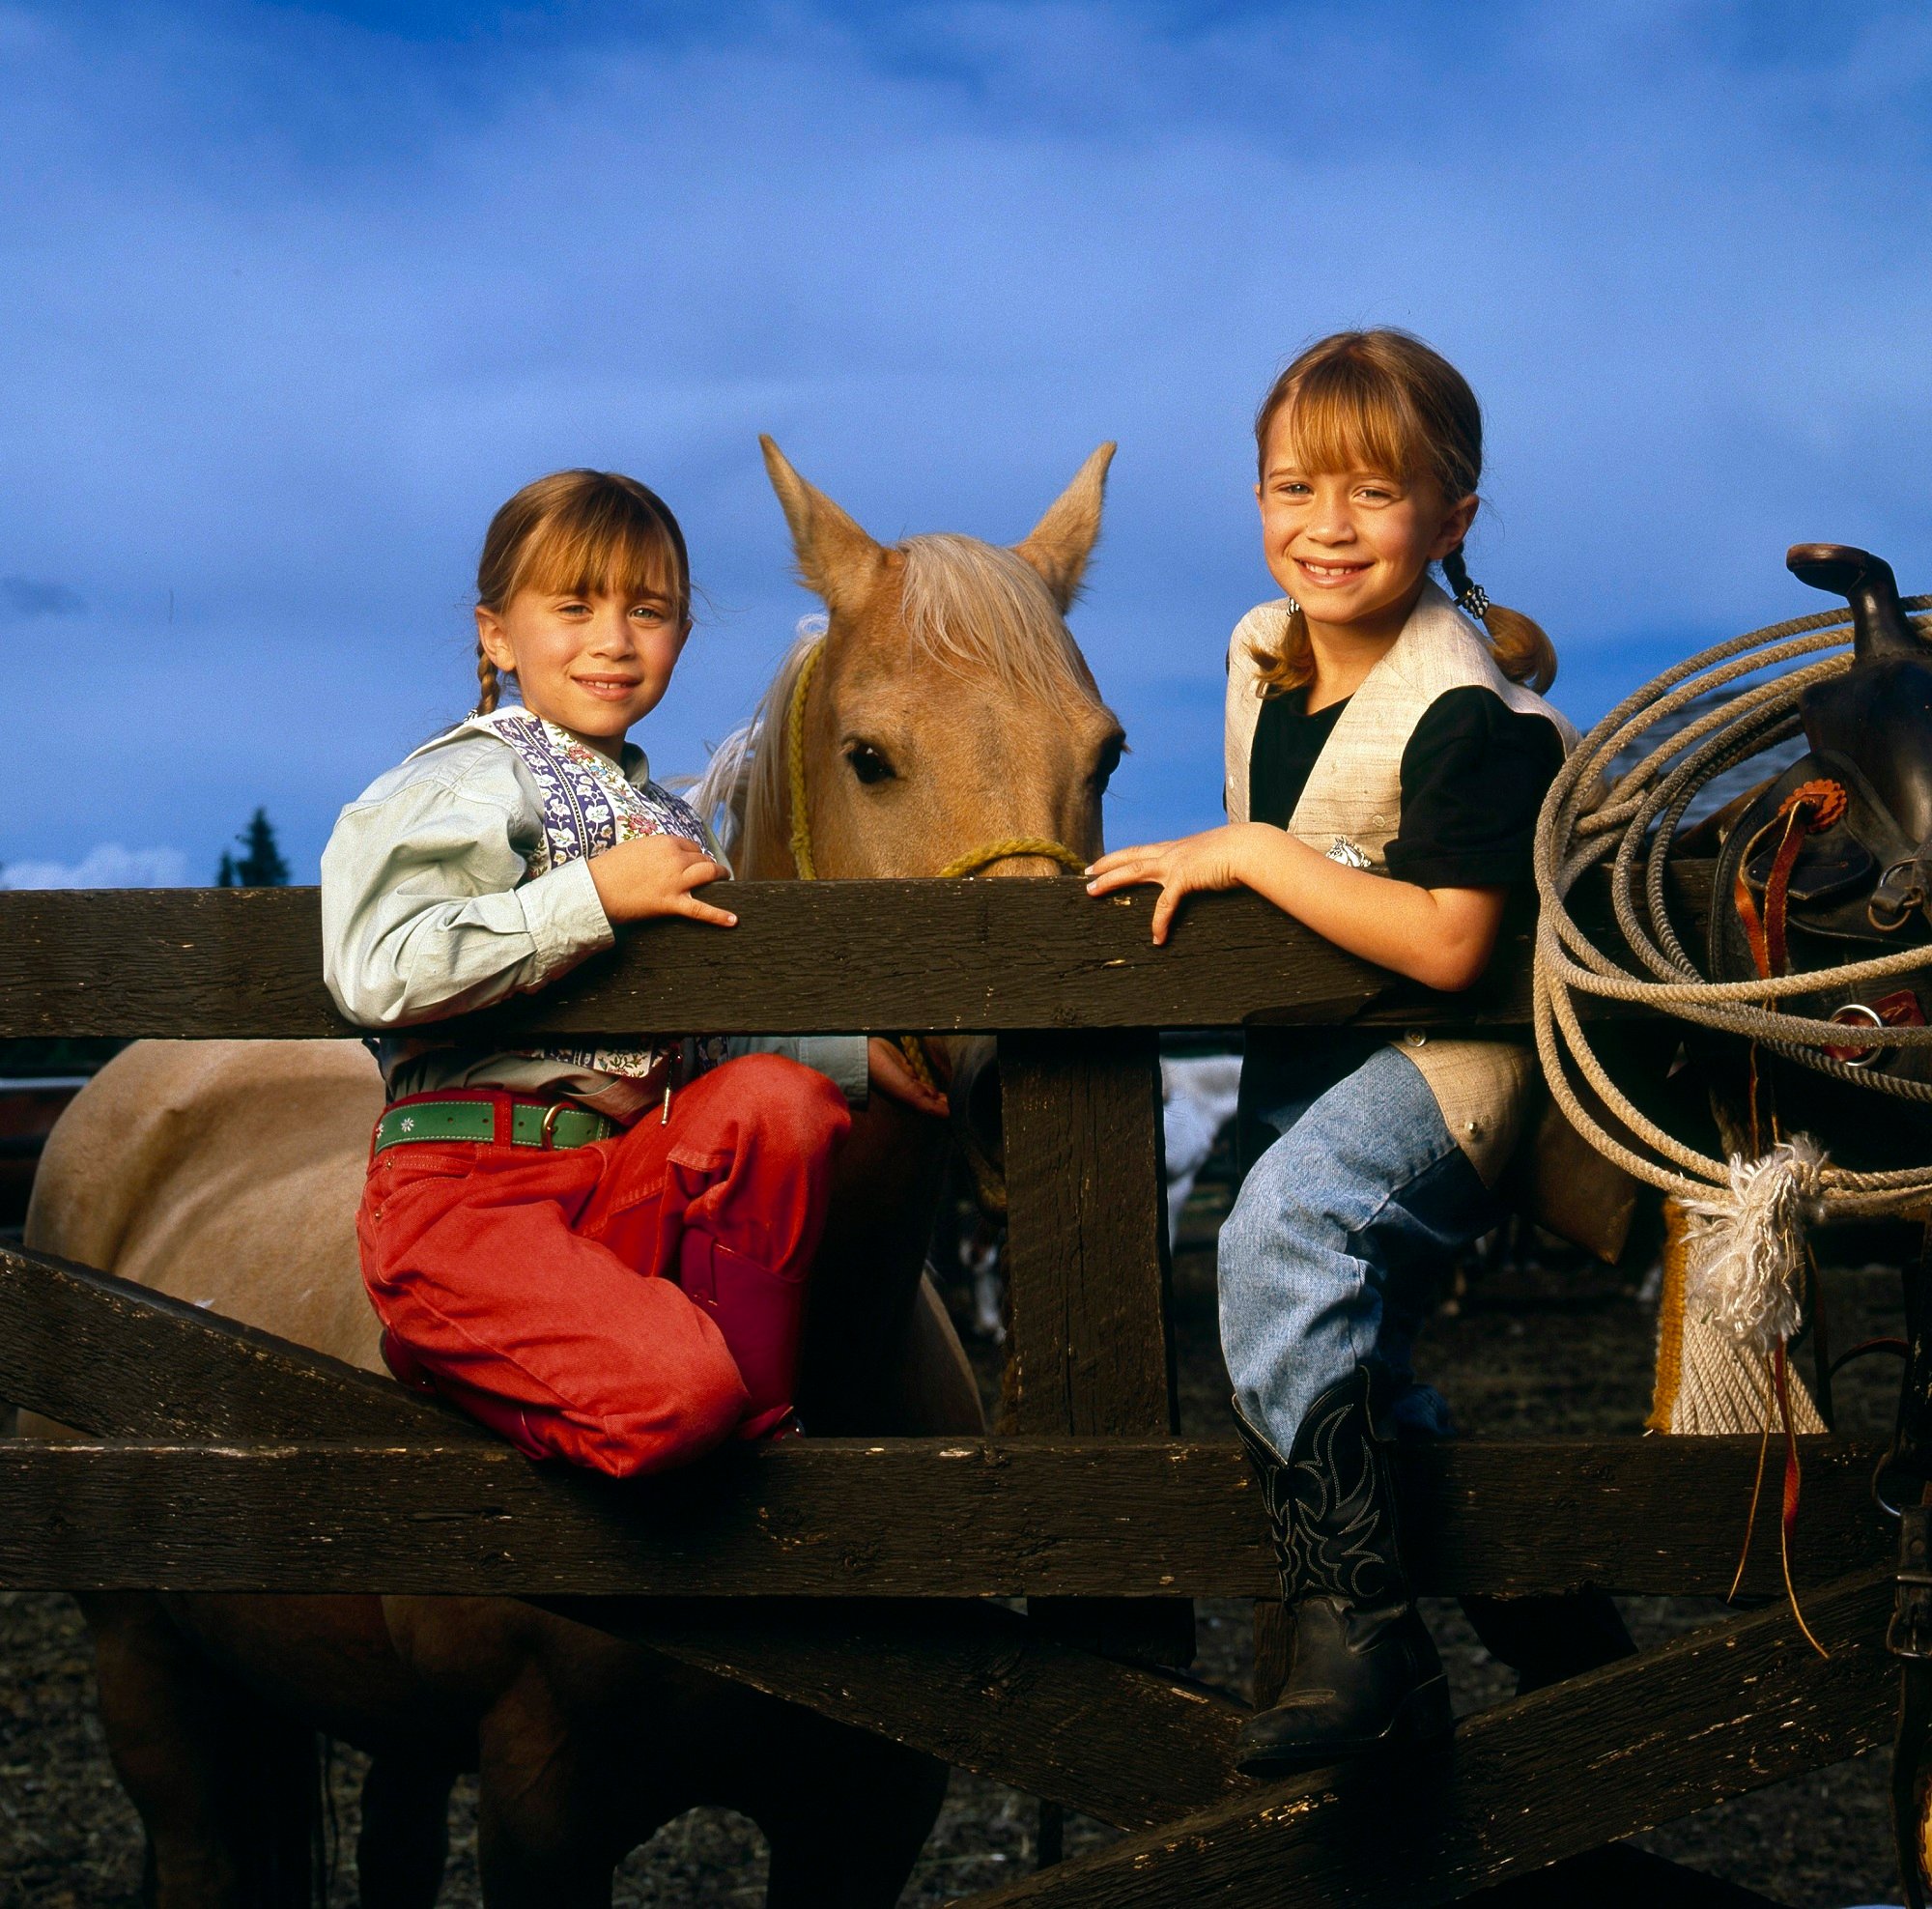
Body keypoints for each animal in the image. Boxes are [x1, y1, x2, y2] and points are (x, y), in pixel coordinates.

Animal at [18, 437, 1128, 1909]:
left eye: (1104, 751)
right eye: (871, 757)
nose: (1014, 1074)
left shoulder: (865, 1819)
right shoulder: (546, 1799)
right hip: (144, 1663)